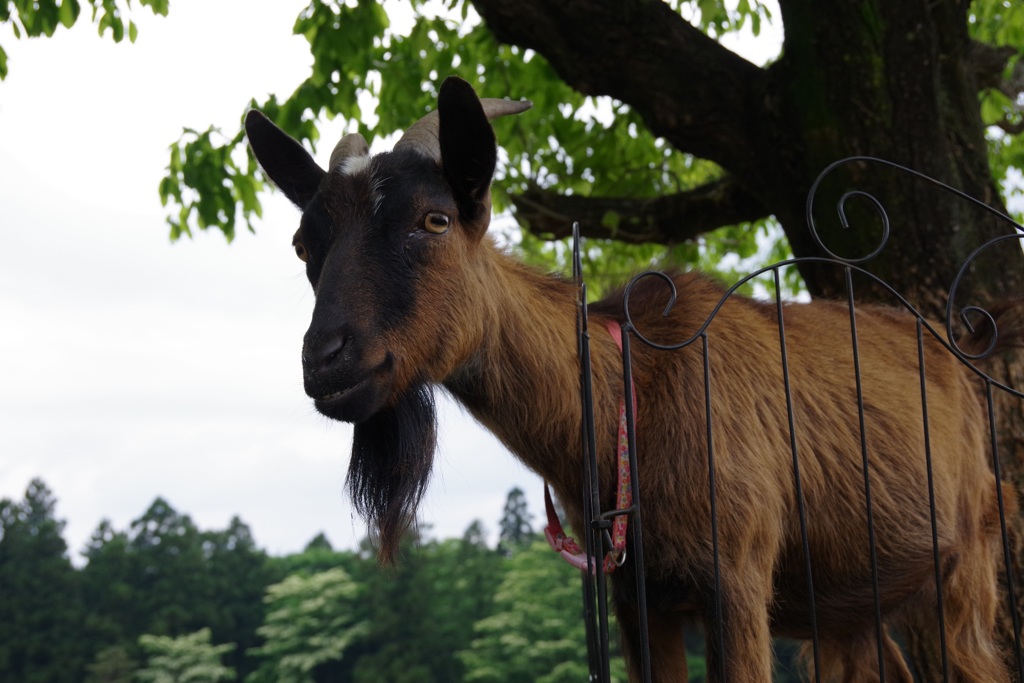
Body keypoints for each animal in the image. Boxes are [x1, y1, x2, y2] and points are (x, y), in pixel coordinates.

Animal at [245, 76, 1015, 683]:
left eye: (433, 219)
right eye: (305, 245)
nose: (327, 360)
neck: (630, 397)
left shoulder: (737, 577)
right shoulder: (637, 599)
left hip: (966, 567)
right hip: (852, 604)